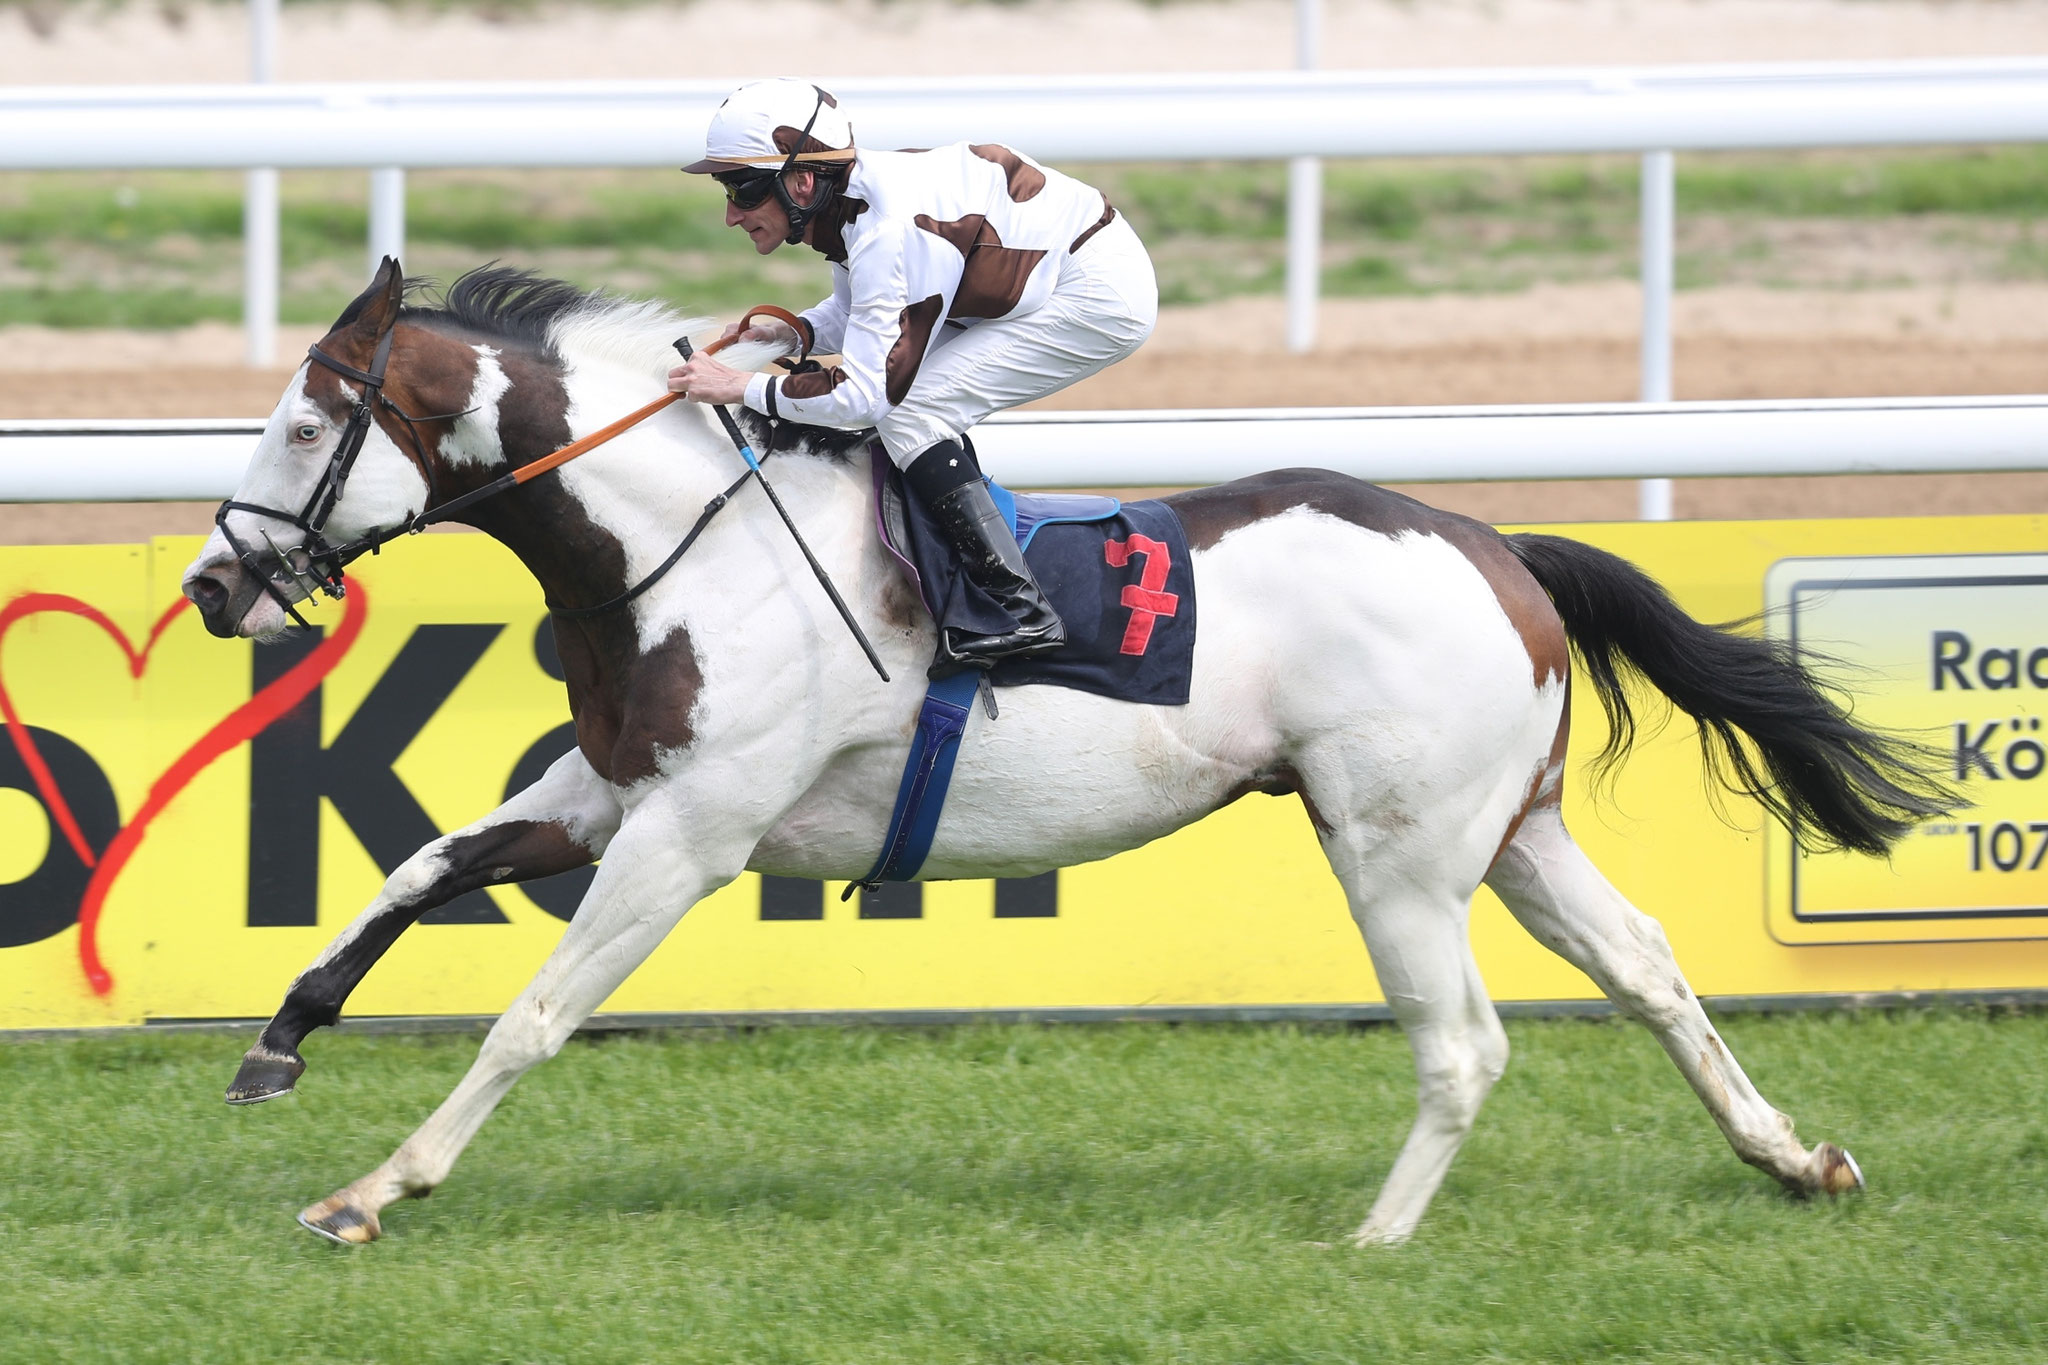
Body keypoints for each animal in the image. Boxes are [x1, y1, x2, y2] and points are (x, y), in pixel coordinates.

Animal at [180, 258, 1949, 1252]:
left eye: (302, 421)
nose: (211, 584)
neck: (680, 543)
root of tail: (1496, 542)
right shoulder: (611, 787)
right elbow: (413, 869)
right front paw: (277, 1043)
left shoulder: (693, 830)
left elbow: (534, 1013)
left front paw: (373, 1191)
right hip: (1509, 829)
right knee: (1645, 963)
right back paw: (1794, 1159)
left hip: (1396, 852)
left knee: (1463, 1045)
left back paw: (1373, 1242)